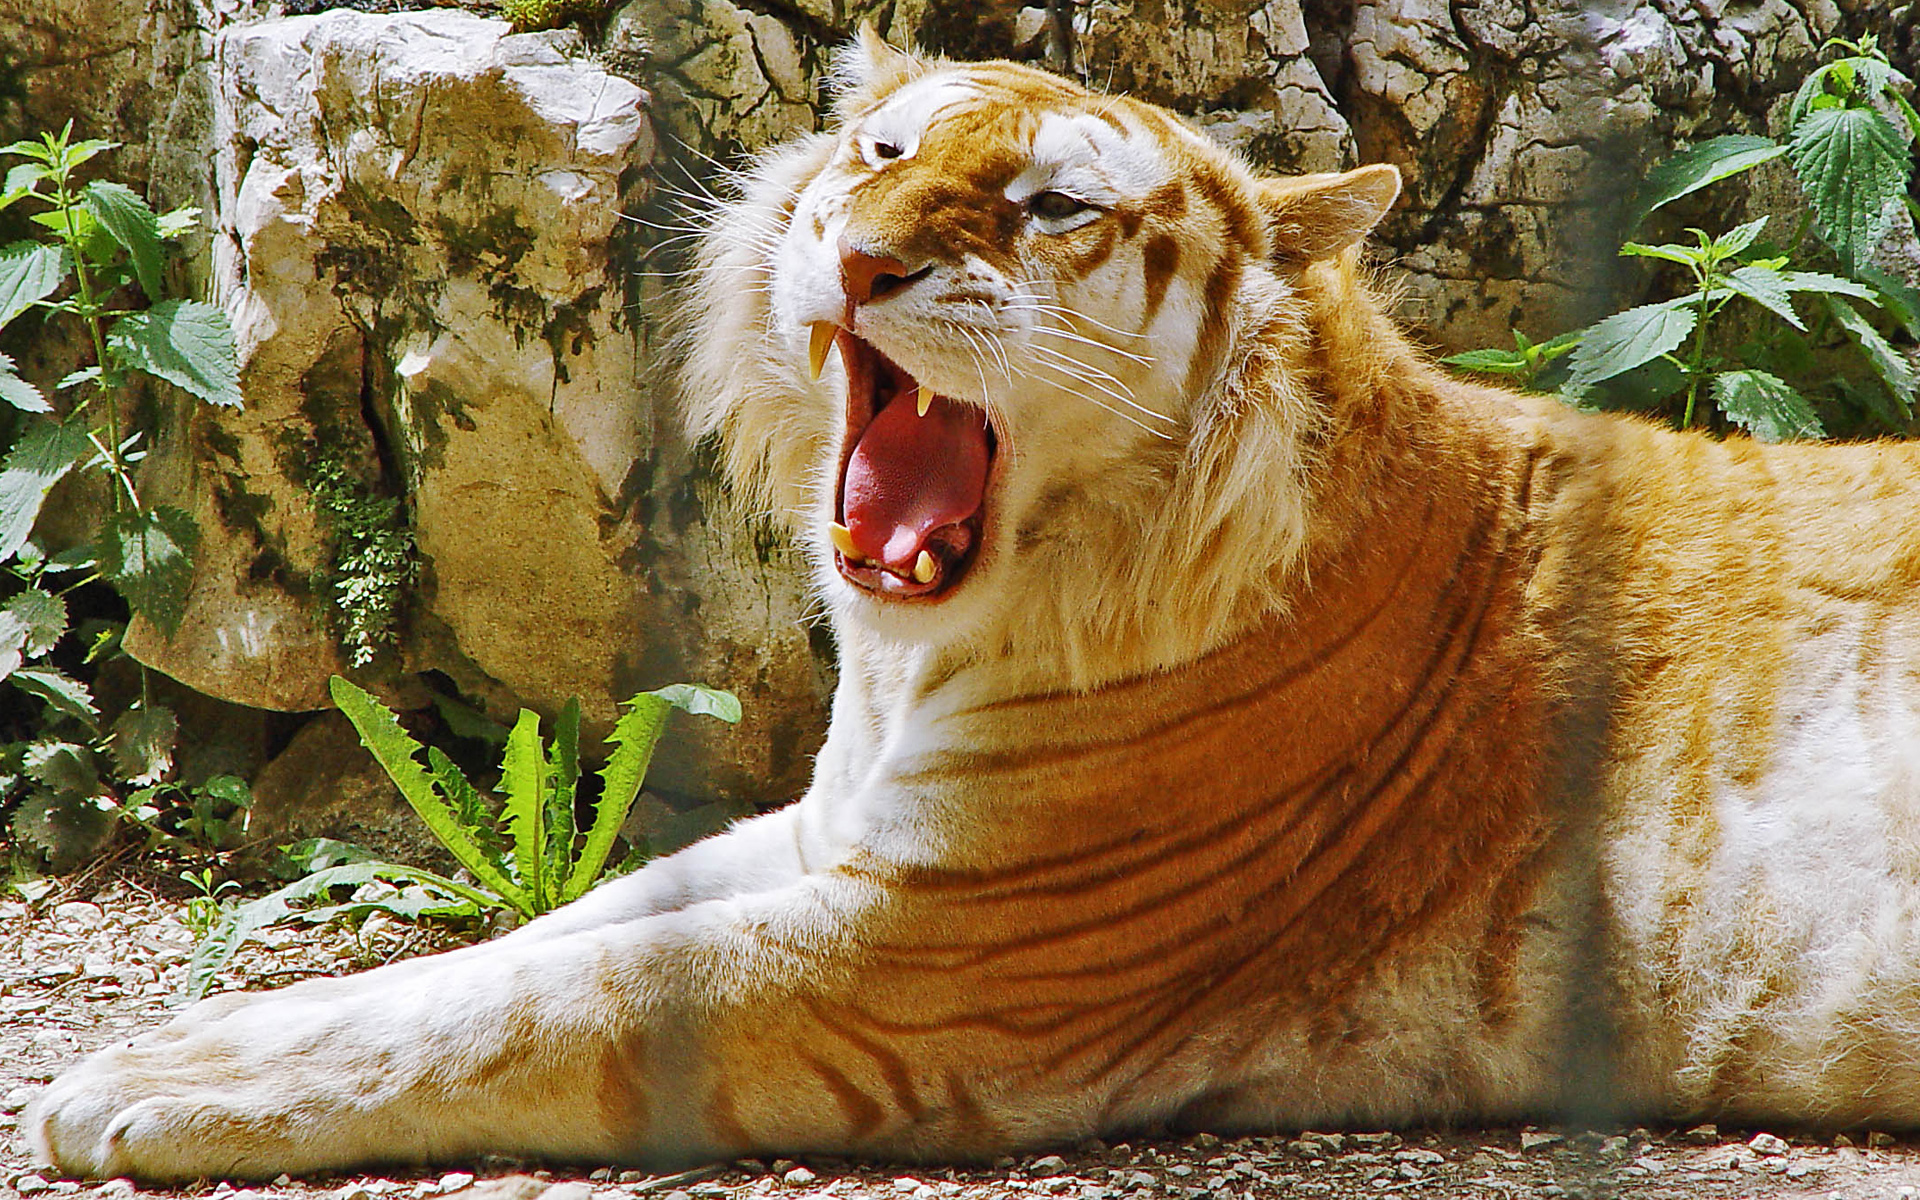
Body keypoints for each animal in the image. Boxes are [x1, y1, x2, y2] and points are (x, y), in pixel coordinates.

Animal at [30, 32, 1920, 1182]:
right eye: (879, 149)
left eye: (1052, 205)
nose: (863, 254)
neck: (924, 652)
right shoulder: (836, 839)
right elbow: (531, 944)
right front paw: (196, 1032)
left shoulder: (935, 955)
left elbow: (542, 1002)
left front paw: (137, 1087)